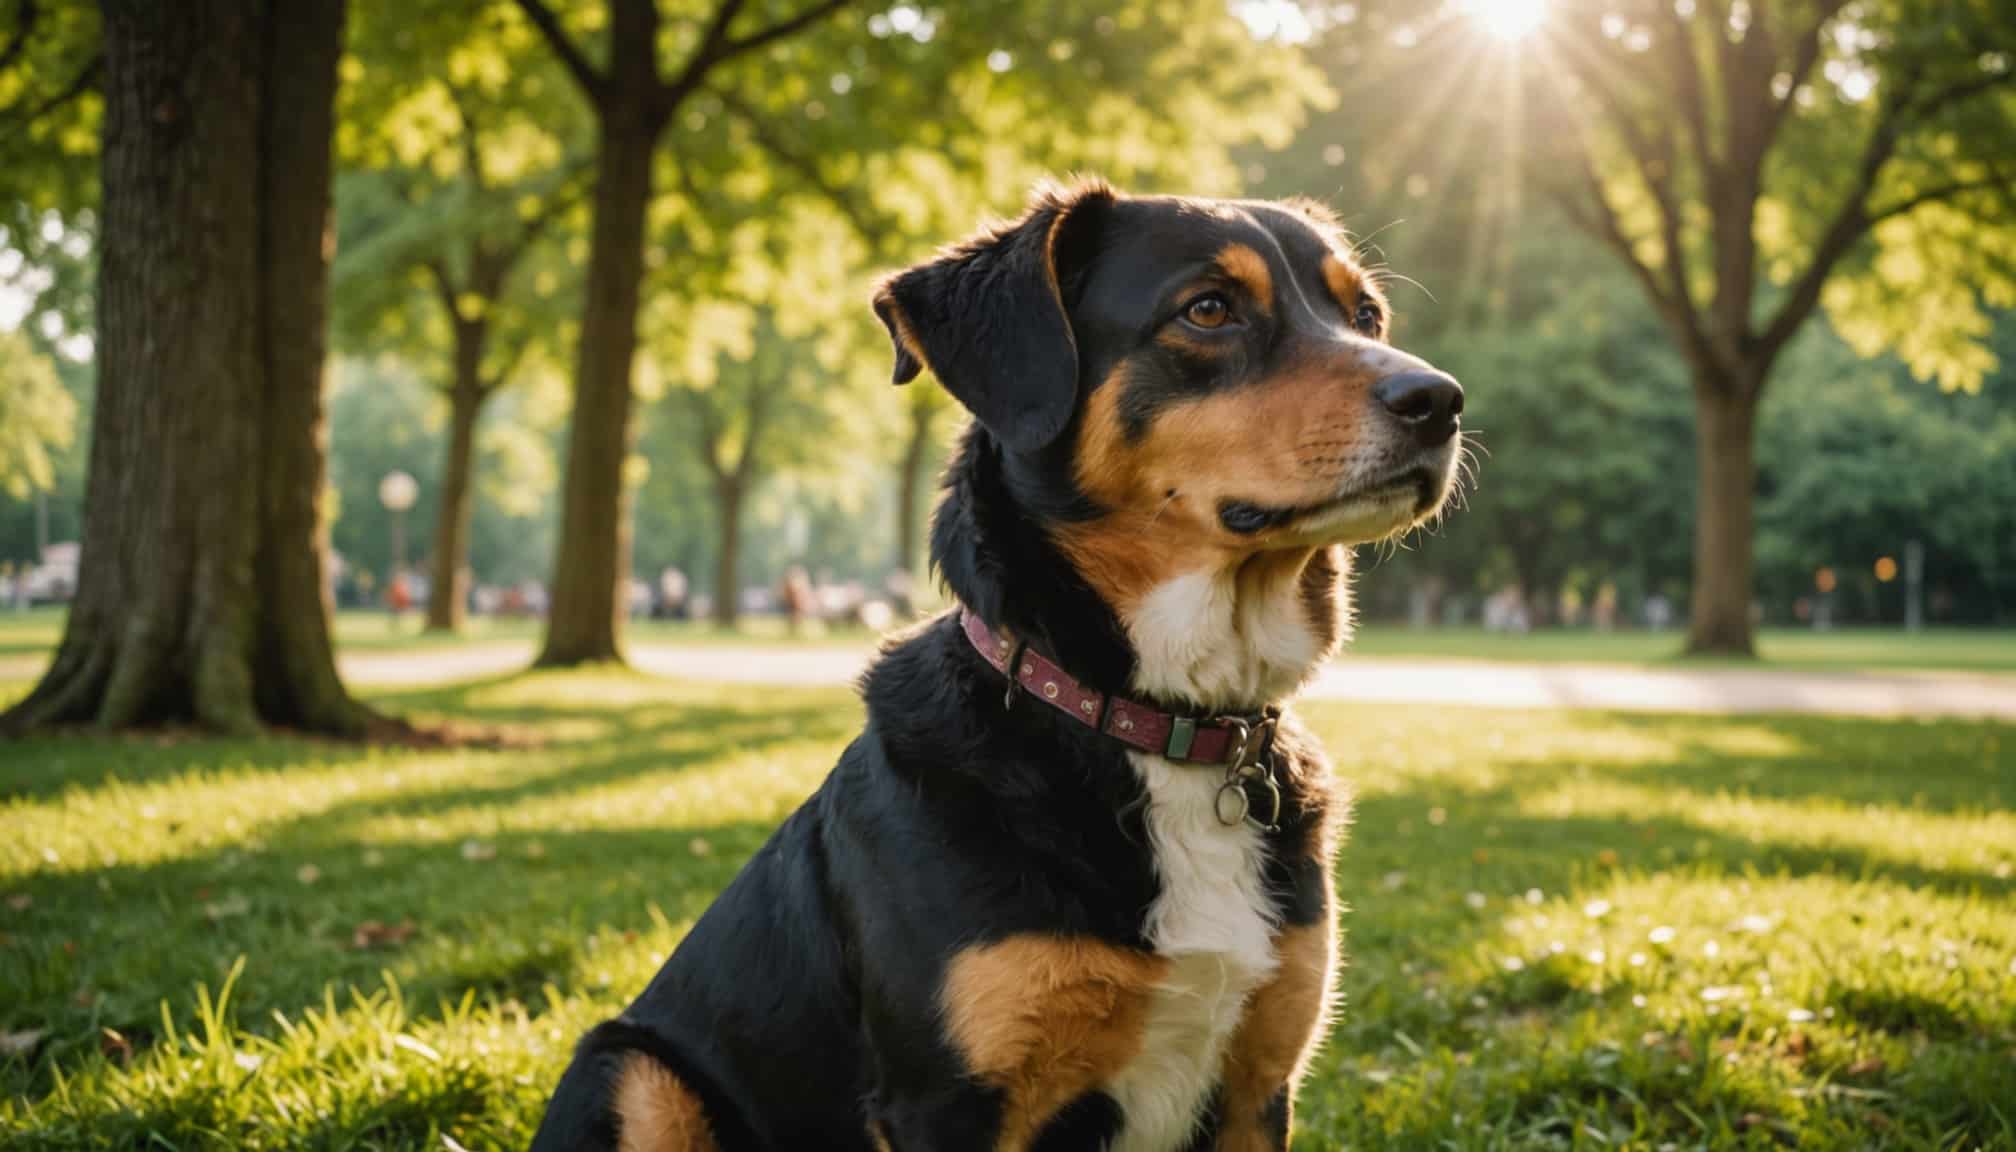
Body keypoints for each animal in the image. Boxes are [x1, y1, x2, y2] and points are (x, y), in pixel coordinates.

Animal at [536, 184, 1467, 1145]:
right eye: (1209, 309)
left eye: (1364, 314)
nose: (1439, 400)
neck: (1151, 720)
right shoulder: (949, 1101)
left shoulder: (1259, 1084)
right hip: (632, 1071)